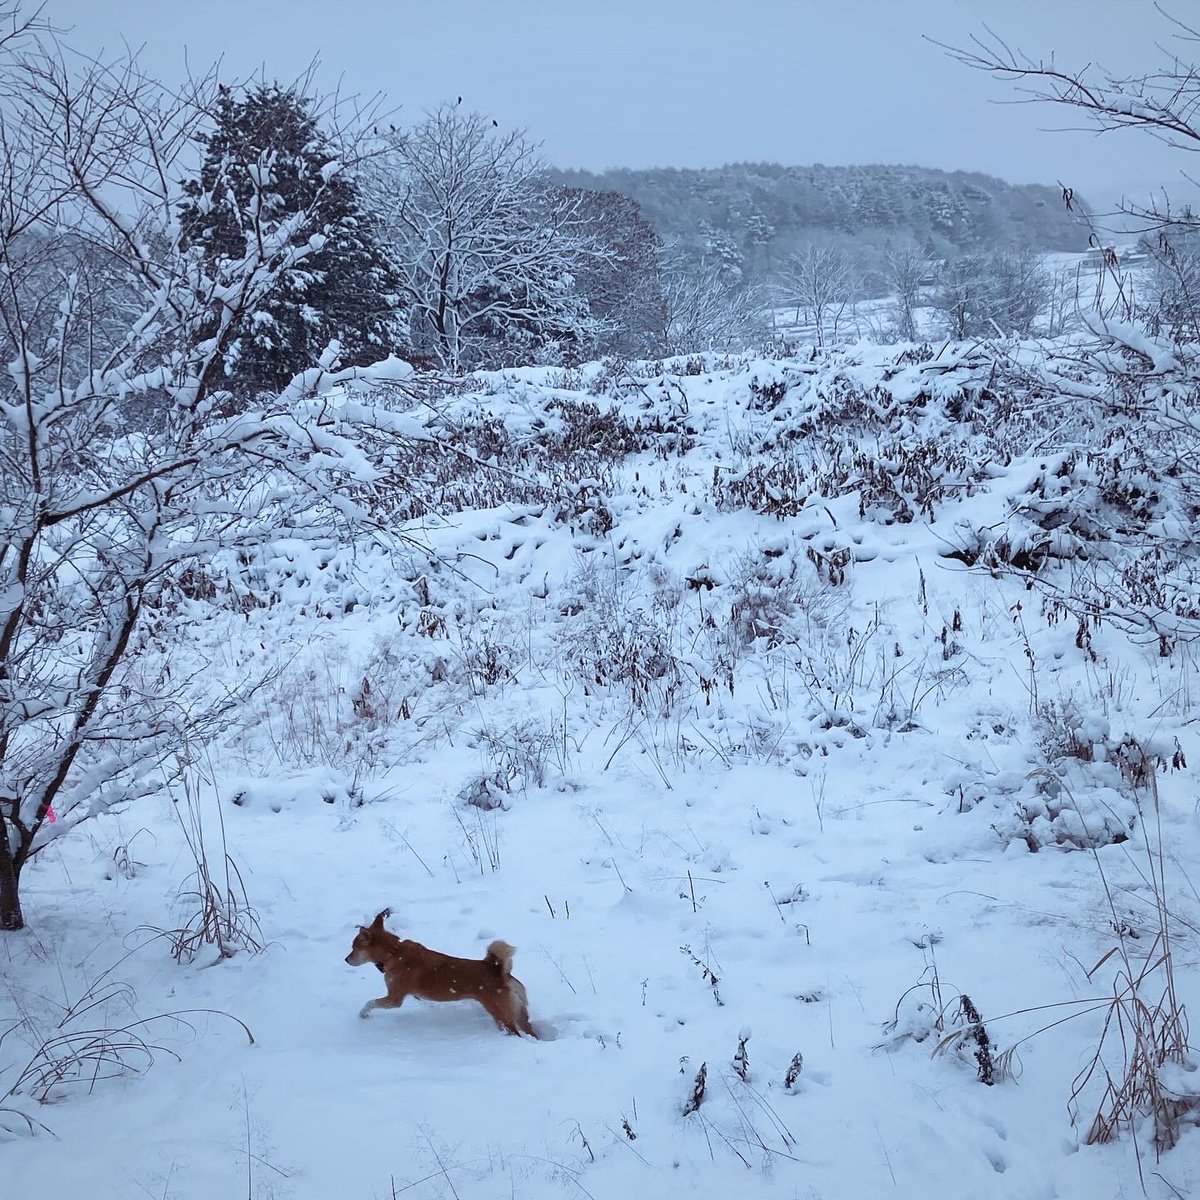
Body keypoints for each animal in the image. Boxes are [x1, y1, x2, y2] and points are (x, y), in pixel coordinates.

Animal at [345, 902, 537, 1036]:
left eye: (354, 948)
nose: (346, 960)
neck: (394, 952)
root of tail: (499, 971)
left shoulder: (394, 999)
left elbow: (370, 1002)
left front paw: (363, 1014)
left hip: (500, 1013)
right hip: (519, 1013)